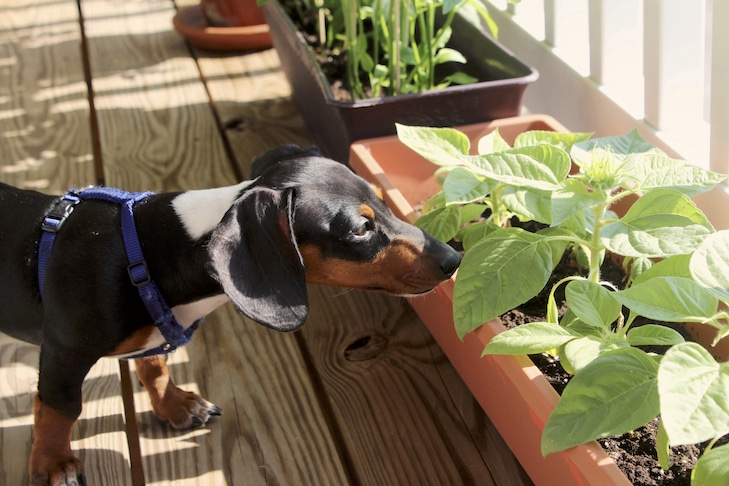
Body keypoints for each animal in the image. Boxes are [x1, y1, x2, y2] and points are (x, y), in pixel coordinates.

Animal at [0, 145, 460, 486]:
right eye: (360, 229)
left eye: (383, 205)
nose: (454, 258)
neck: (145, 253)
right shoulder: (65, 351)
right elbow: (60, 408)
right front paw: (54, 464)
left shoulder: (155, 336)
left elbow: (154, 366)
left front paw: (174, 404)